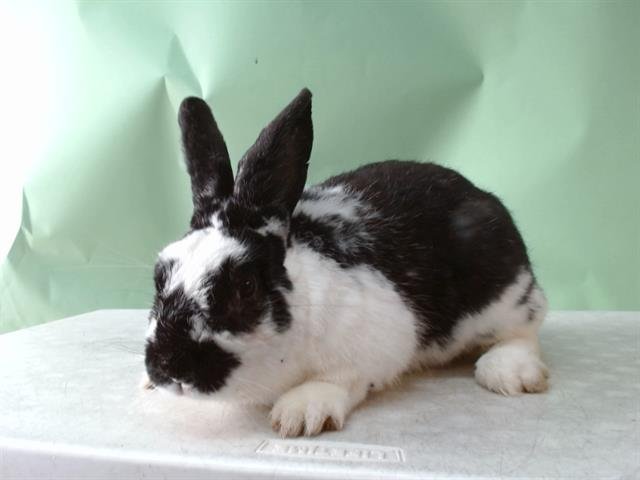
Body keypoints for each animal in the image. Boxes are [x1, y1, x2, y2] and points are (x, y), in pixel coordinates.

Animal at [143, 88, 549, 437]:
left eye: (245, 286)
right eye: (159, 276)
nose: (167, 365)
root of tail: (480, 195)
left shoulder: (379, 338)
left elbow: (338, 378)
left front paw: (300, 412)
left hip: (507, 299)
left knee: (526, 329)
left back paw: (507, 373)